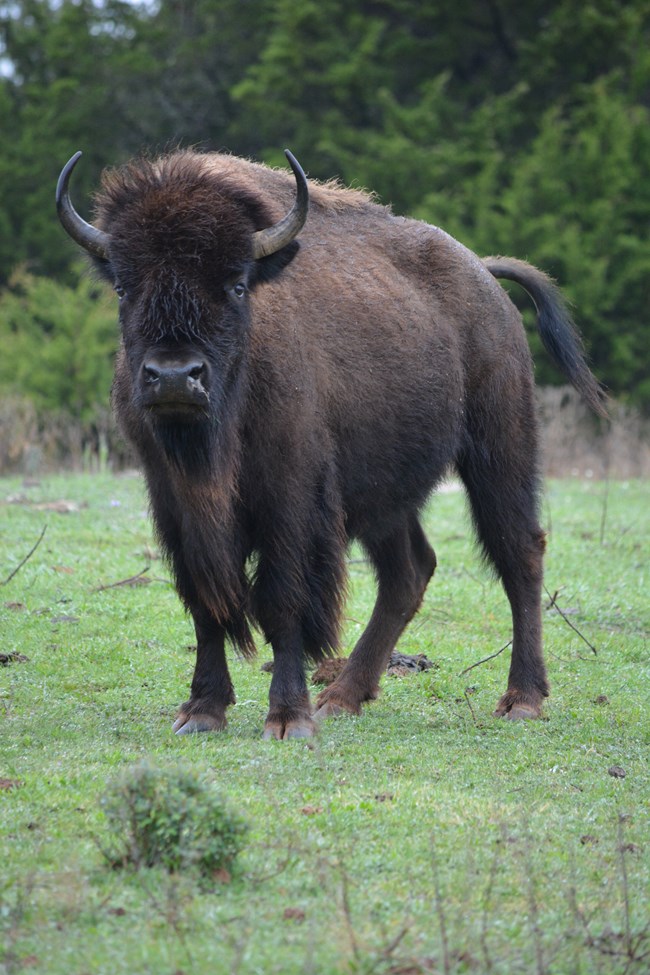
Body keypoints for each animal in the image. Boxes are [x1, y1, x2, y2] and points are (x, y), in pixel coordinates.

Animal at [55, 147, 604, 740]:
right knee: (409, 571)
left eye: (238, 284)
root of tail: (484, 274)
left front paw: (287, 719)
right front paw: (202, 711)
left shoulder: (291, 496)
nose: (176, 377)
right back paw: (342, 697)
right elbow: (205, 602)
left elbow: (281, 599)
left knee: (519, 553)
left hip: (499, 448)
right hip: (387, 496)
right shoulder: (174, 500)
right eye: (123, 287)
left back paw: (521, 698)